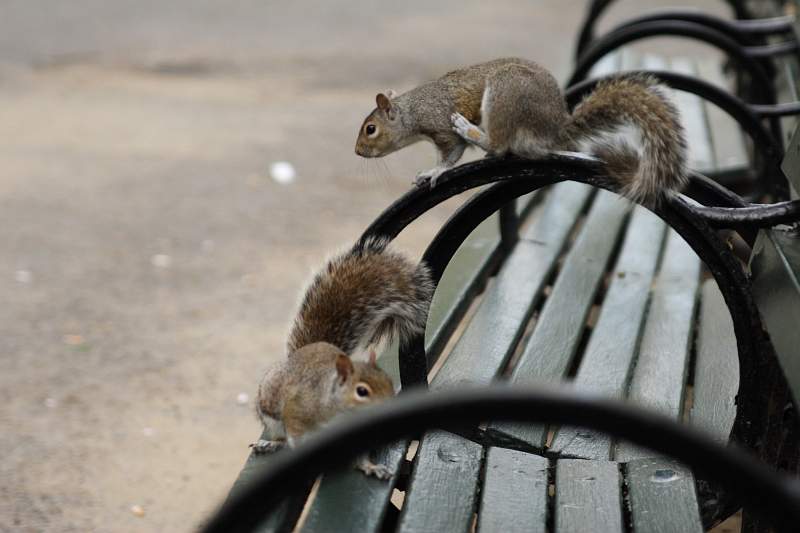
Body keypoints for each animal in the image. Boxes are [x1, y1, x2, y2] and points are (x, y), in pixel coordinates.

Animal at [255, 237, 432, 478]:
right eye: (361, 391)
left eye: (389, 382)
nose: (389, 411)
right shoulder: (298, 412)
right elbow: (296, 436)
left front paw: (371, 467)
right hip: (270, 408)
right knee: (280, 435)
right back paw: (270, 443)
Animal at [356, 56, 688, 206]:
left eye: (371, 129)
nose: (358, 152)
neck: (412, 111)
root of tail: (554, 129)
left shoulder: (440, 125)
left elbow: (451, 153)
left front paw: (434, 172)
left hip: (504, 94)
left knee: (499, 144)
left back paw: (473, 130)